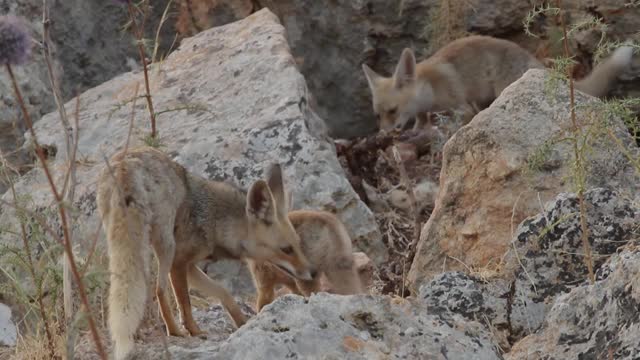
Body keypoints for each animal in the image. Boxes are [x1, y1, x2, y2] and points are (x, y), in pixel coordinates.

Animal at [96, 147, 314, 360]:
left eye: (298, 244)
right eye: (286, 249)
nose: (311, 273)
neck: (217, 220)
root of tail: (125, 164)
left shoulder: (190, 266)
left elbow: (222, 291)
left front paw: (241, 321)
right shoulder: (178, 262)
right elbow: (185, 303)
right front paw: (194, 330)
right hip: (166, 245)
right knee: (159, 290)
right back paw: (175, 332)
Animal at [360, 34, 636, 131]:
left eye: (393, 110)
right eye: (377, 115)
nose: (385, 134)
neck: (430, 89)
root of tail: (533, 61)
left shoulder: (462, 106)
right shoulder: (424, 110)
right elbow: (420, 121)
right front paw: (418, 130)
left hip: (502, 91)